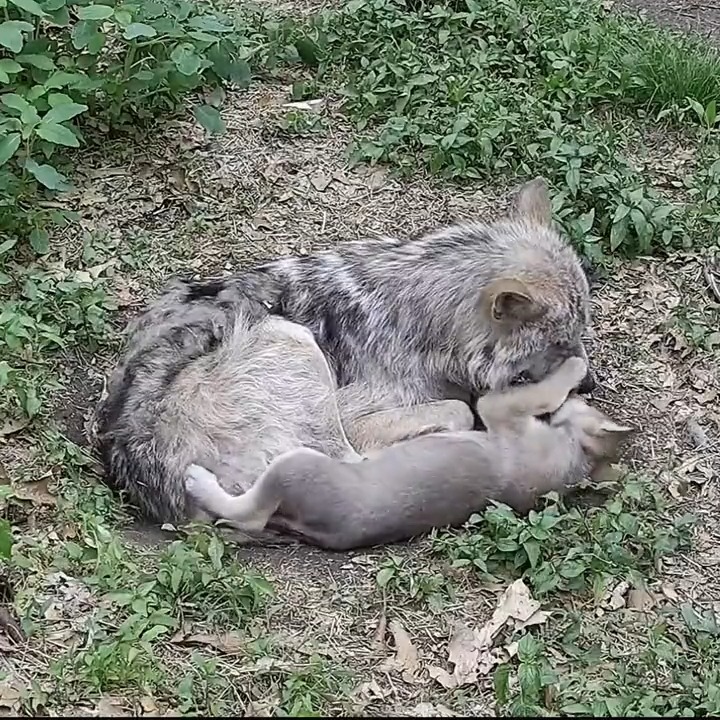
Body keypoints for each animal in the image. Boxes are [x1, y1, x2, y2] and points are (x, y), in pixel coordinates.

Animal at [96, 177, 595, 524]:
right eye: (561, 341)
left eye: (580, 330)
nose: (591, 383)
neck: (424, 319)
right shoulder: (357, 416)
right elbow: (457, 408)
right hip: (294, 343)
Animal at [184, 356, 632, 551]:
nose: (586, 390)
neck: (574, 459)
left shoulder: (498, 408)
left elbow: (538, 390)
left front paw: (572, 368)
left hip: (295, 467)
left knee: (251, 513)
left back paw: (198, 479)